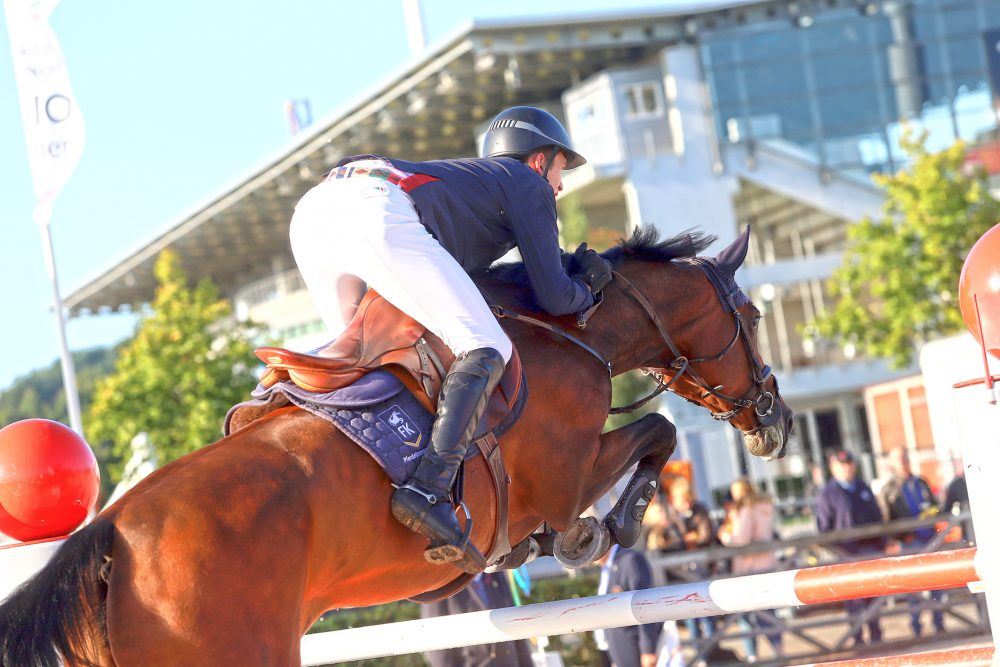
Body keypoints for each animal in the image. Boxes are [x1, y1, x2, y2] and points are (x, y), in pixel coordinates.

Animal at [0, 226, 792, 667]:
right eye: (753, 317)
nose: (776, 418)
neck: (570, 333)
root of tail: (109, 532)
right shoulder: (566, 478)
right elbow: (656, 433)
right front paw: (609, 527)